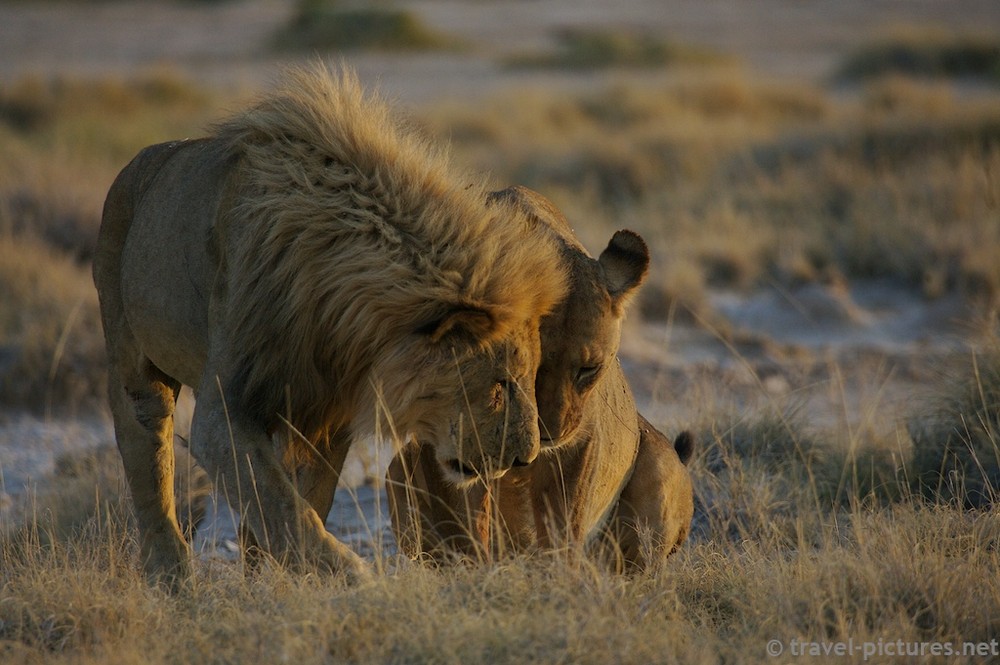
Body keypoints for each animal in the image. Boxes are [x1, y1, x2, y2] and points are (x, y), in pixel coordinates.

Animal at [92, 67, 572, 588]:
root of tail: (133, 165)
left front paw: (284, 578)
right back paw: (170, 572)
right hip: (131, 356)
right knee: (147, 452)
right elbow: (278, 499)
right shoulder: (226, 405)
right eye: (500, 384)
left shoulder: (328, 410)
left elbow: (303, 497)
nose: (525, 459)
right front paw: (350, 573)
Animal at [386, 187, 692, 572]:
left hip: (657, 463)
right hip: (398, 469)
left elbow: (563, 524)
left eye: (589, 368)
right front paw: (477, 572)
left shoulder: (581, 445)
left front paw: (560, 577)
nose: (549, 434)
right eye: (527, 371)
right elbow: (470, 518)